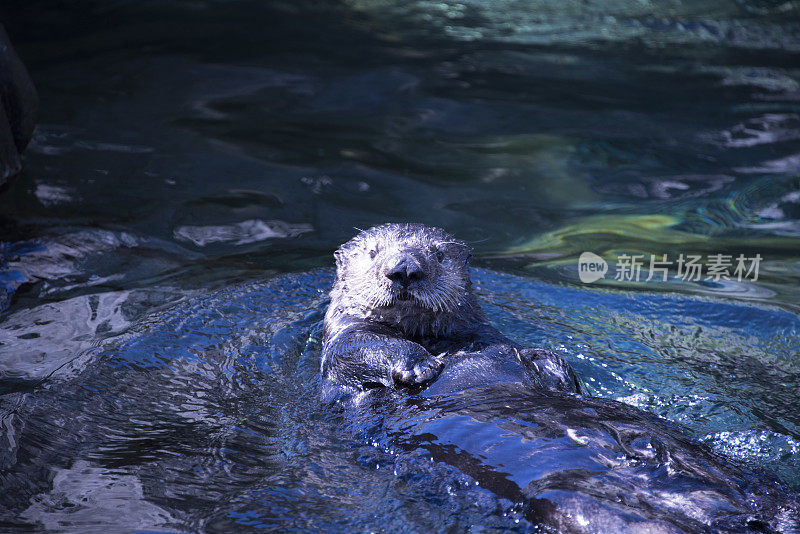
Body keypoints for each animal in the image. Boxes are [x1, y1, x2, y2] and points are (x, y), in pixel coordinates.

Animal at [318, 223, 580, 402]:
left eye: (439, 254)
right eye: (373, 253)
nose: (404, 268)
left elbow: (541, 355)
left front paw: (561, 375)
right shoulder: (344, 336)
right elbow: (362, 345)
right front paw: (422, 365)